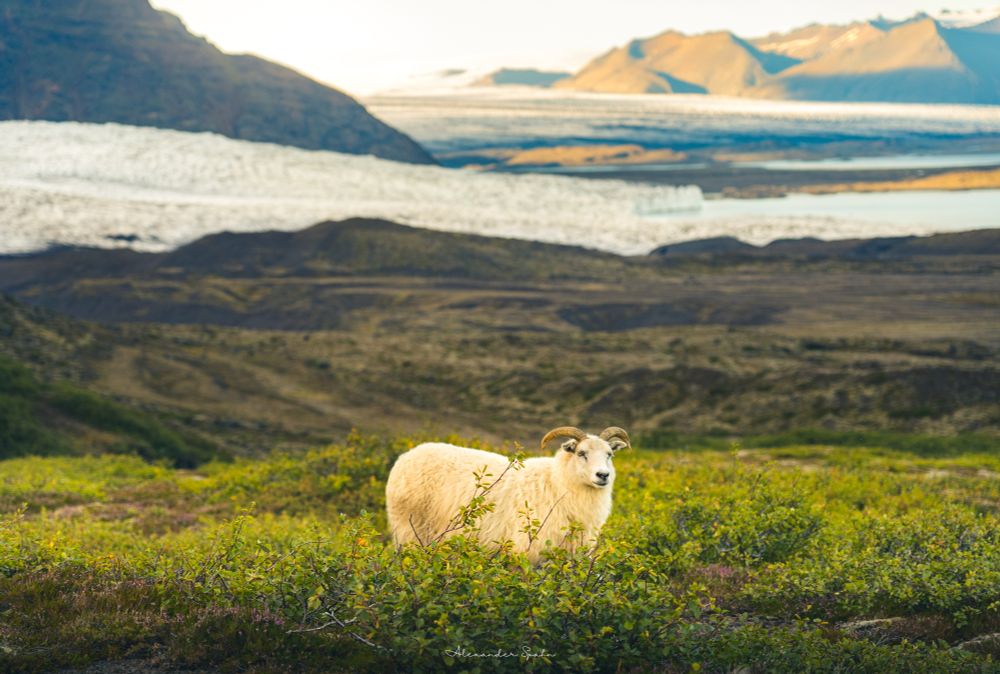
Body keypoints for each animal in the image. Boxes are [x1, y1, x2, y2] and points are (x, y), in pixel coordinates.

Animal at [385, 426, 630, 563]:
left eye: (609, 454)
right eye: (581, 453)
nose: (603, 475)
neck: (557, 483)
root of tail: (406, 456)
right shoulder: (526, 553)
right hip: (409, 532)